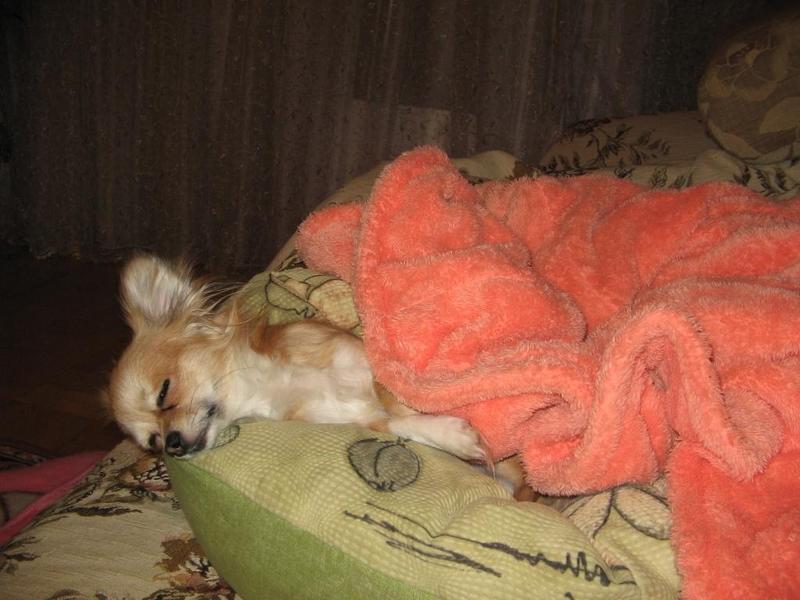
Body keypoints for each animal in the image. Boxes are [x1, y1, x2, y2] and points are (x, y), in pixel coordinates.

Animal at [106, 254, 532, 498]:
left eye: (164, 393)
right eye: (152, 441)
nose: (173, 444)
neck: (271, 385)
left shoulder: (362, 355)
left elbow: (389, 387)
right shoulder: (348, 417)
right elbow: (395, 423)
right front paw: (452, 435)